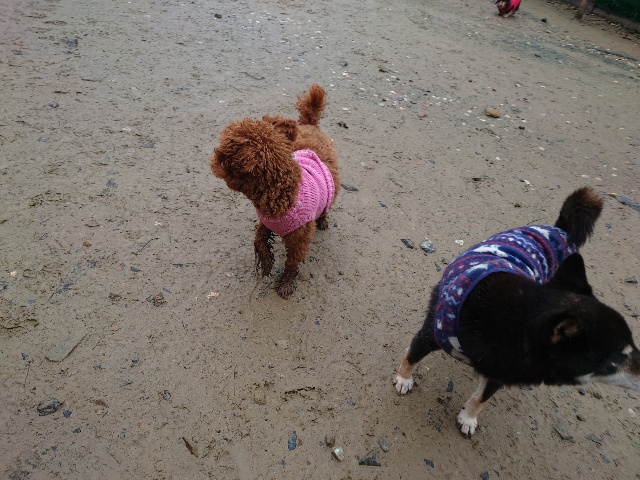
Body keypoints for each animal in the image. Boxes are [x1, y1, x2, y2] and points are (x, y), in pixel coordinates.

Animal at [210, 84, 340, 298]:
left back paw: (323, 220)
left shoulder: (299, 238)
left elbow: (292, 262)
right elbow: (259, 240)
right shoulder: (267, 222)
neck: (282, 190)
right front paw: (266, 263)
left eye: (223, 152)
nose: (213, 159)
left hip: (332, 187)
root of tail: (311, 126)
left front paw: (285, 284)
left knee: (327, 204)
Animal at [393, 187, 640, 436]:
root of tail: (561, 228)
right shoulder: (431, 334)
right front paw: (403, 379)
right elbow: (411, 356)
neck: (508, 324)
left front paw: (468, 418)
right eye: (618, 357)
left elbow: (481, 399)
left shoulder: (503, 373)